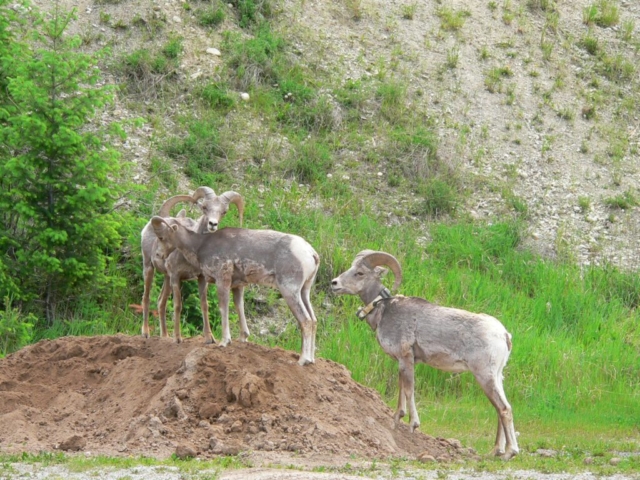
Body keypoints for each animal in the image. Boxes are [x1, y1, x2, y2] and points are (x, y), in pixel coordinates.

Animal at [140, 186, 245, 344]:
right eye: (204, 207)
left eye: (224, 211)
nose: (212, 224)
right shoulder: (176, 277)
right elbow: (178, 305)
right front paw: (178, 338)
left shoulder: (201, 278)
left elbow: (204, 305)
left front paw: (209, 338)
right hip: (148, 267)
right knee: (146, 297)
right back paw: (145, 333)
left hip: (166, 278)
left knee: (160, 302)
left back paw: (165, 336)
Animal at [150, 216, 320, 366]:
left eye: (161, 237)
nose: (158, 255)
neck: (200, 245)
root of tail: (311, 253)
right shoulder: (237, 286)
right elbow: (240, 308)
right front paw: (243, 338)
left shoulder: (222, 280)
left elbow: (223, 309)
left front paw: (224, 342)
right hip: (304, 292)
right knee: (313, 320)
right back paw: (311, 360)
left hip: (289, 290)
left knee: (305, 321)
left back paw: (303, 360)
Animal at [330, 249, 520, 460]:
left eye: (360, 273)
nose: (334, 283)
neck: (383, 311)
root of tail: (504, 335)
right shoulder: (402, 362)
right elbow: (401, 391)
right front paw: (396, 420)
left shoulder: (407, 358)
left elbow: (409, 390)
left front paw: (413, 424)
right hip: (496, 377)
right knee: (500, 409)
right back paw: (495, 451)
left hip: (484, 375)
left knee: (504, 409)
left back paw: (509, 453)